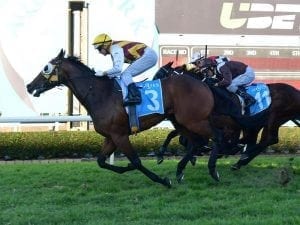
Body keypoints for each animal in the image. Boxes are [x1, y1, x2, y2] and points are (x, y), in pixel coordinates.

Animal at [27, 49, 216, 188]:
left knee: (214, 136)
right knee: (197, 142)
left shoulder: (120, 135)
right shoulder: (111, 136)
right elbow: (101, 161)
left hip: (193, 121)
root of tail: (203, 83)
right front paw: (127, 167)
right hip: (182, 121)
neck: (100, 94)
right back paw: (182, 169)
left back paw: (212, 170)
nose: (29, 86)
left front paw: (163, 180)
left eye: (46, 67)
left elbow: (136, 161)